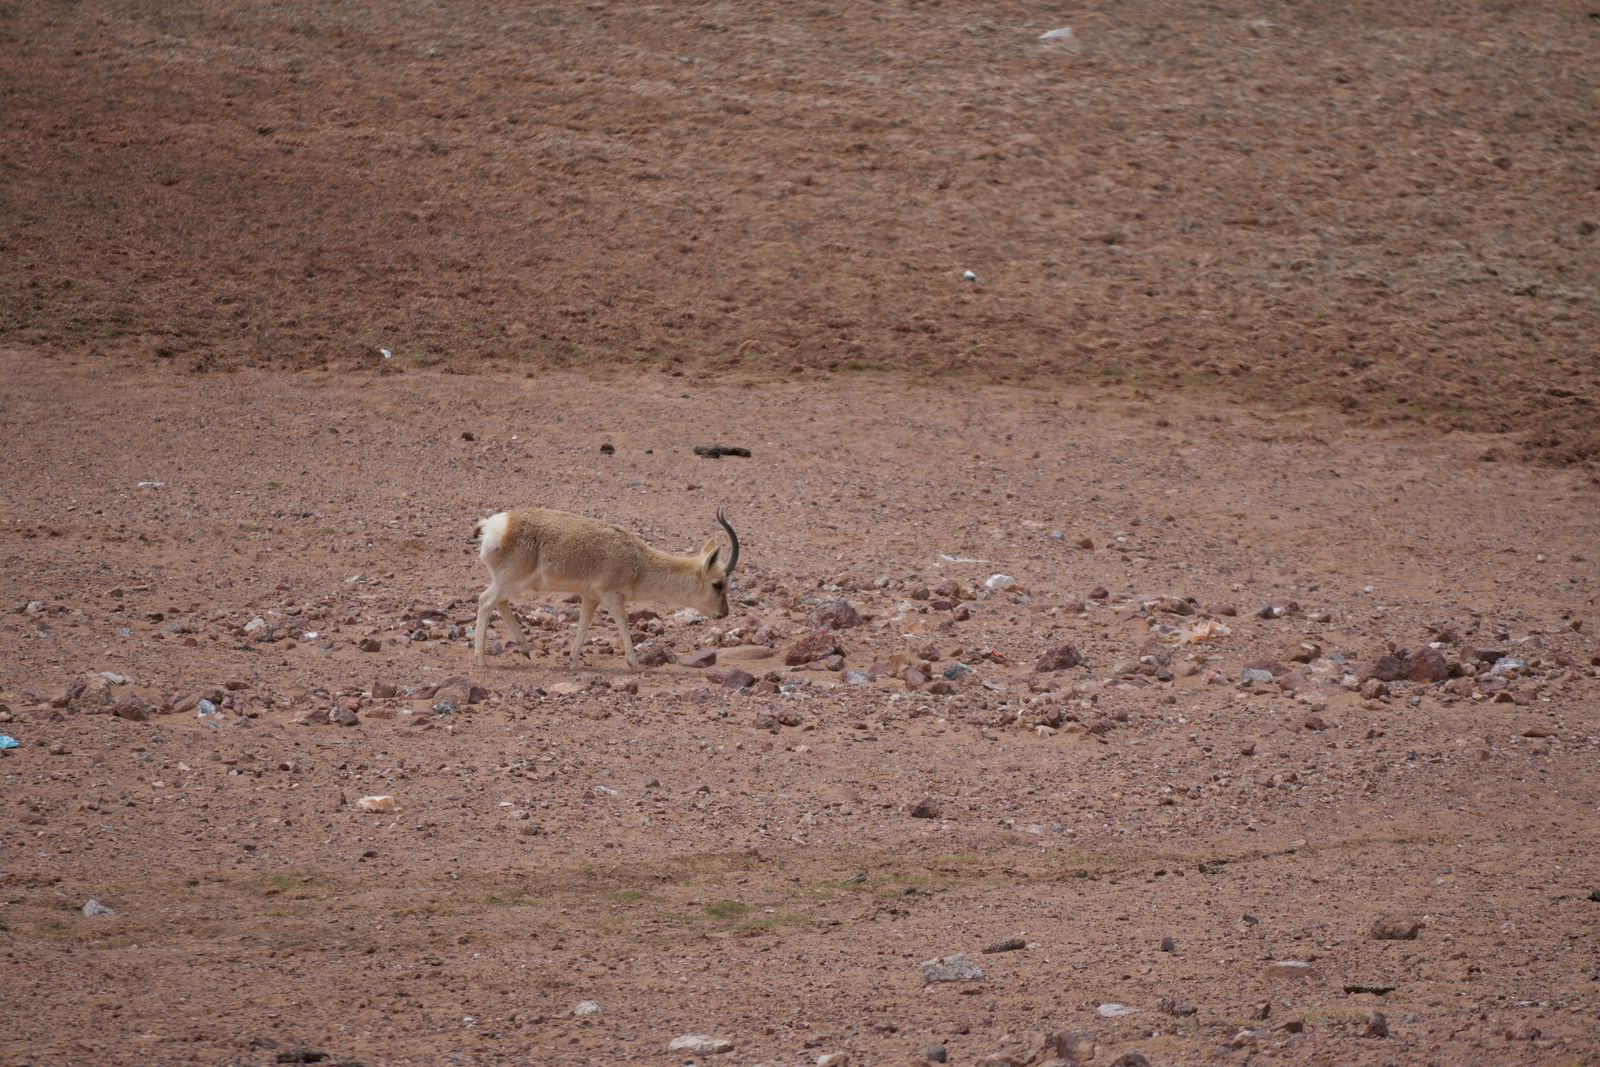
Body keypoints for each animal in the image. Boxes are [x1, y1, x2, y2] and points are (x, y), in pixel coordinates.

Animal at [471, 507, 740, 671]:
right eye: (718, 584)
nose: (724, 613)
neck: (639, 561)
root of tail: (495, 526)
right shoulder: (612, 596)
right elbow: (623, 622)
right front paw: (634, 664)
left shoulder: (591, 598)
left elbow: (584, 624)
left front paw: (572, 661)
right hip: (512, 580)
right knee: (486, 600)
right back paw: (481, 659)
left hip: (511, 583)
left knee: (499, 602)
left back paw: (525, 649)